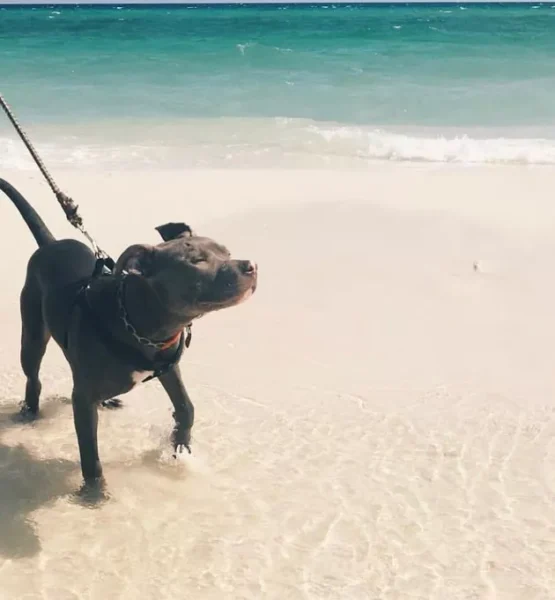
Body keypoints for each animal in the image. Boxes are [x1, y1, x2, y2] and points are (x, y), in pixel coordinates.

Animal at [0, 178, 258, 482]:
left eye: (226, 252)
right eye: (196, 261)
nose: (251, 265)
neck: (139, 325)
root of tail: (51, 244)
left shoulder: (168, 367)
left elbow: (186, 407)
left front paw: (180, 449)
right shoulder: (82, 400)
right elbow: (91, 458)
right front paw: (94, 491)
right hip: (33, 335)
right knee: (33, 377)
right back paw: (29, 412)